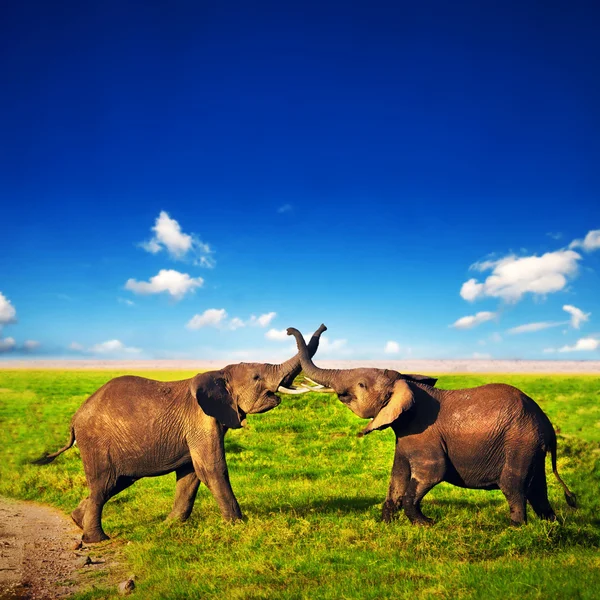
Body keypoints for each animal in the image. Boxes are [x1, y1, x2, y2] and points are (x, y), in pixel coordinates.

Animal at [33, 328, 326, 544]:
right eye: (256, 377)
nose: (288, 330)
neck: (220, 373)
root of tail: (75, 417)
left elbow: (190, 475)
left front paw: (169, 526)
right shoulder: (201, 420)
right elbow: (212, 468)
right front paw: (238, 525)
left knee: (115, 483)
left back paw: (76, 519)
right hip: (96, 441)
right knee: (103, 483)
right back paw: (97, 539)